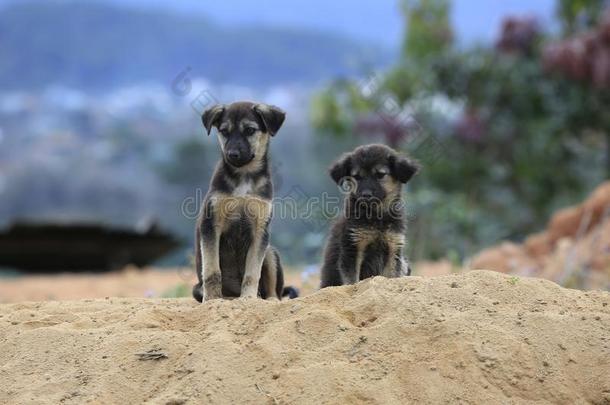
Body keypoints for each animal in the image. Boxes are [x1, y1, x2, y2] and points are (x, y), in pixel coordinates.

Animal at [190, 100, 294, 302]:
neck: (244, 175)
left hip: (270, 252)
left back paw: (268, 300)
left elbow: (252, 273)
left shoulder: (260, 230)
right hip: (196, 288)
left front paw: (248, 299)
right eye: (224, 131)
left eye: (250, 130)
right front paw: (212, 299)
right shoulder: (211, 225)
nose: (232, 154)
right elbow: (212, 270)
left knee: (273, 290)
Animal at [318, 143, 418, 288]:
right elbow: (352, 280)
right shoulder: (352, 247)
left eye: (380, 174)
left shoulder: (393, 247)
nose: (366, 194)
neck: (376, 215)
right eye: (357, 177)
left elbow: (392, 276)